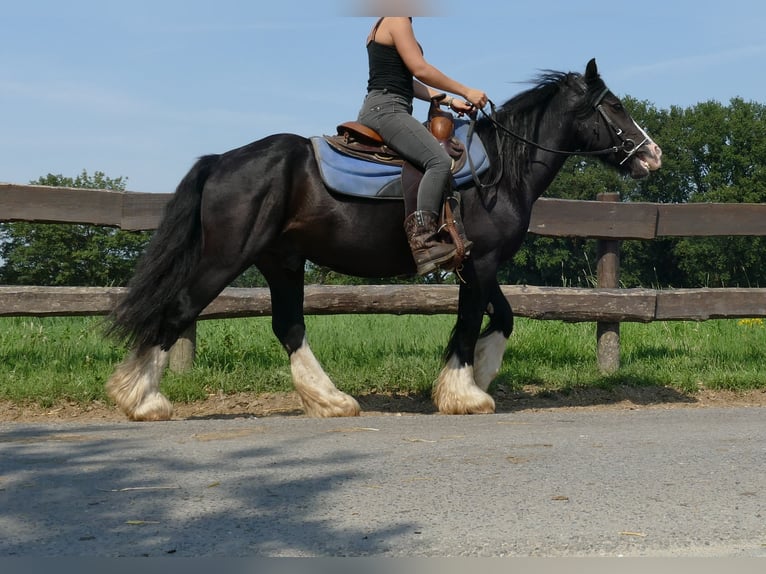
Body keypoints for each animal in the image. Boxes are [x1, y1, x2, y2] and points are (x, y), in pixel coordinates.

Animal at [106, 58, 660, 420]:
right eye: (613, 106)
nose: (652, 154)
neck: (501, 172)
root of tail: (221, 160)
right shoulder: (479, 264)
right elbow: (468, 326)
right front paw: (464, 393)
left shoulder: (477, 264)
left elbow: (501, 318)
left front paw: (477, 375)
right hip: (226, 257)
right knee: (180, 309)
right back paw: (144, 400)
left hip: (281, 261)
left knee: (288, 326)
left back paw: (331, 400)